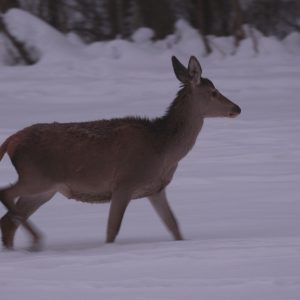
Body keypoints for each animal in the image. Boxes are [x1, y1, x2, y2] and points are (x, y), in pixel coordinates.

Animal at [0, 55, 240, 250]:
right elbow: (112, 229)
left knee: (8, 221)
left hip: (44, 189)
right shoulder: (125, 182)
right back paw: (36, 240)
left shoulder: (155, 189)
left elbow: (174, 226)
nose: (236, 108)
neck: (163, 151)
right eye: (214, 92)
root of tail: (10, 142)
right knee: (5, 195)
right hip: (35, 176)